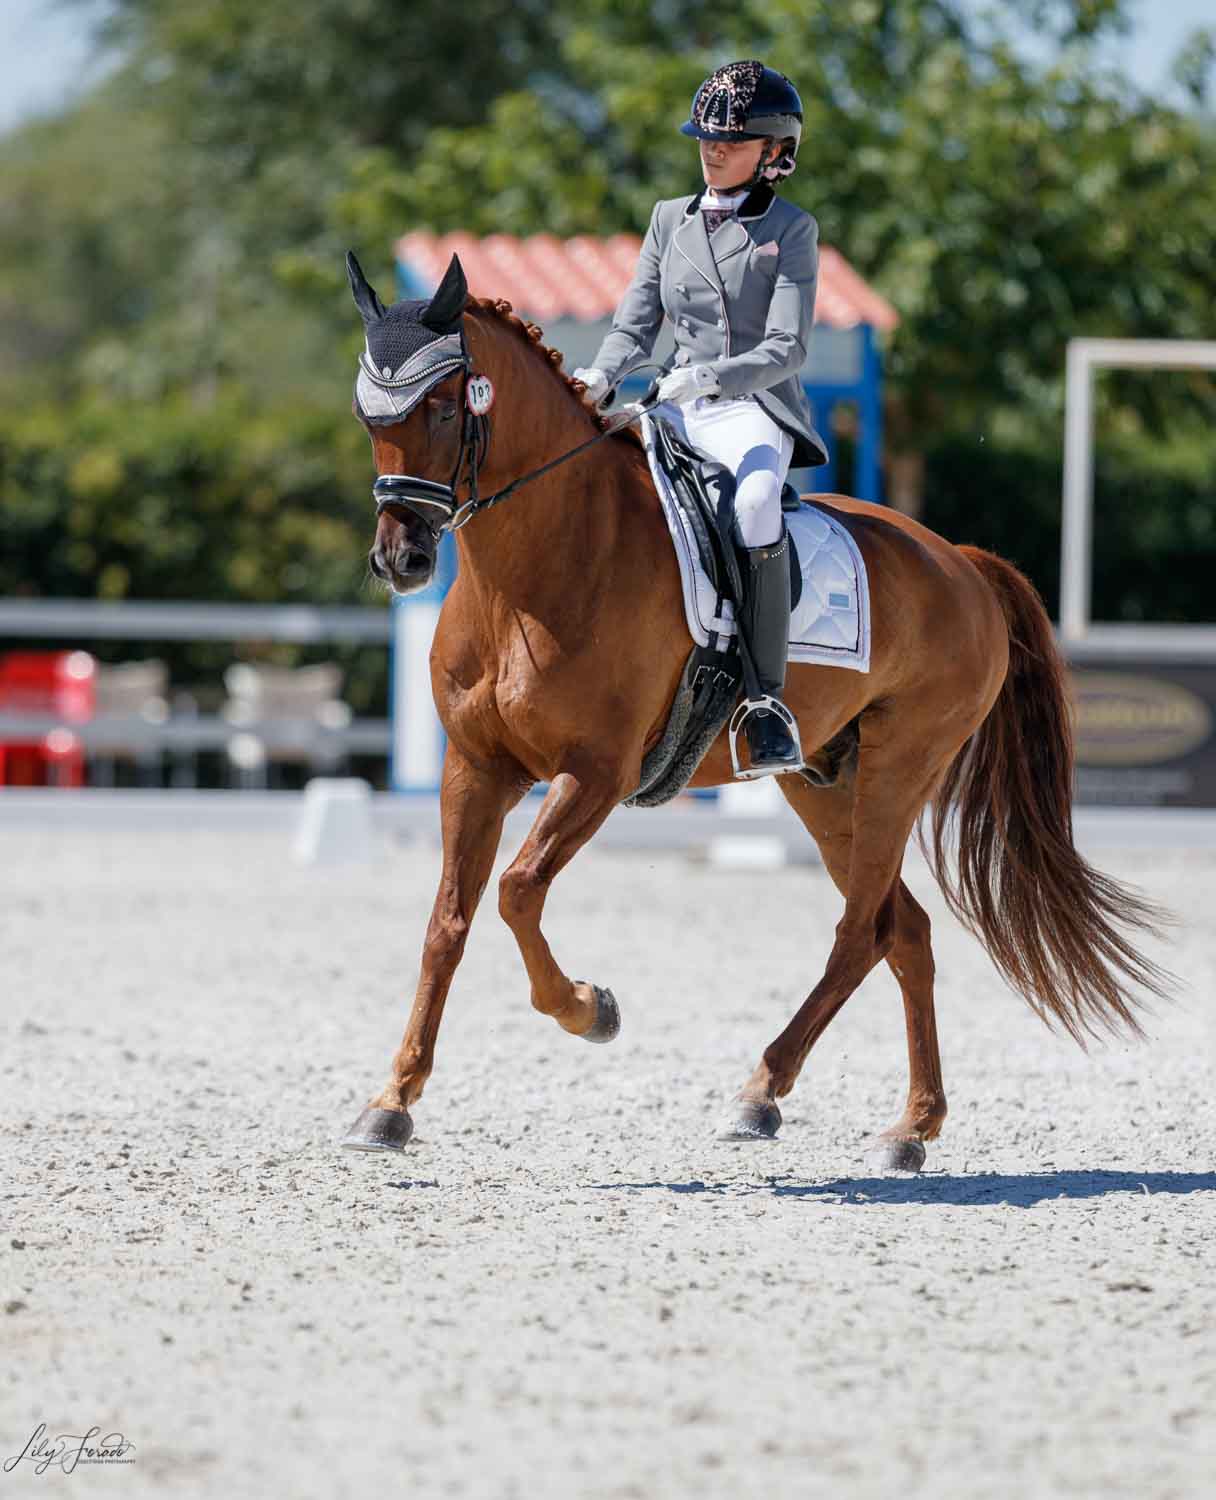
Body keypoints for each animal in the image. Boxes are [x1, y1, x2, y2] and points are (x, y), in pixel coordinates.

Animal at [340, 255, 1157, 1170]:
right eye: (368, 413)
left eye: (446, 406)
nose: (401, 560)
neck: (536, 568)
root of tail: (962, 561)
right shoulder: (474, 769)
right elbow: (447, 922)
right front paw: (391, 1102)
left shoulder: (596, 771)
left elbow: (518, 892)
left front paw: (592, 1010)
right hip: (823, 783)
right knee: (901, 931)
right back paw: (908, 1126)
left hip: (902, 770)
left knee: (860, 931)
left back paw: (763, 1091)